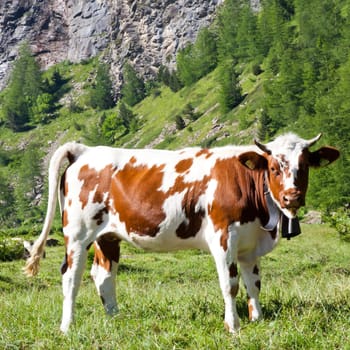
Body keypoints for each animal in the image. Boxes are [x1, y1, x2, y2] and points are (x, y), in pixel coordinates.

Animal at [23, 133, 340, 334]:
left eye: (304, 167)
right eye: (274, 167)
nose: (291, 197)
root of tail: (85, 150)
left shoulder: (250, 244)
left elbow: (254, 284)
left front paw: (258, 320)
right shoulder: (223, 237)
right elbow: (231, 285)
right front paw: (233, 326)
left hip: (107, 236)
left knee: (103, 275)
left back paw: (114, 319)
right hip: (78, 233)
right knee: (71, 276)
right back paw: (67, 326)